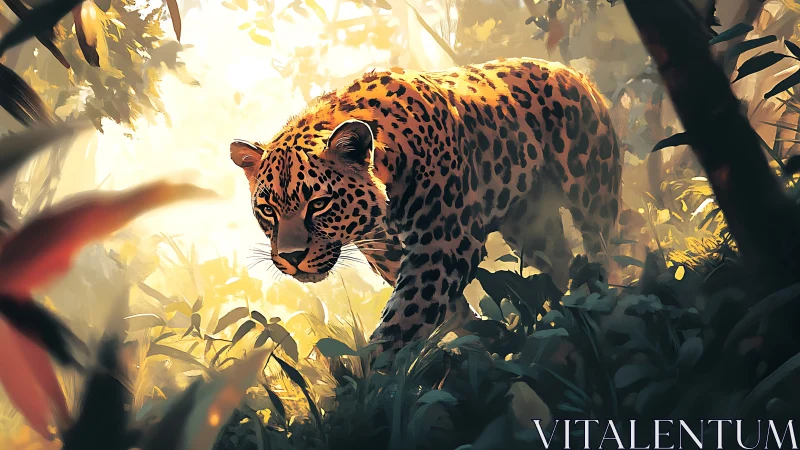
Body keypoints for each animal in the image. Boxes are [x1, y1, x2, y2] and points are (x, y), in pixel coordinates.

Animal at [230, 57, 622, 352]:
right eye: (267, 210)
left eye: (319, 203)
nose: (291, 257)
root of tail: (570, 71)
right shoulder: (385, 252)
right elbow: (442, 309)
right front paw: (483, 338)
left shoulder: (445, 242)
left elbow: (407, 313)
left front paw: (373, 386)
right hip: (528, 223)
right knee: (559, 258)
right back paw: (562, 309)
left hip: (592, 190)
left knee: (603, 246)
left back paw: (601, 300)